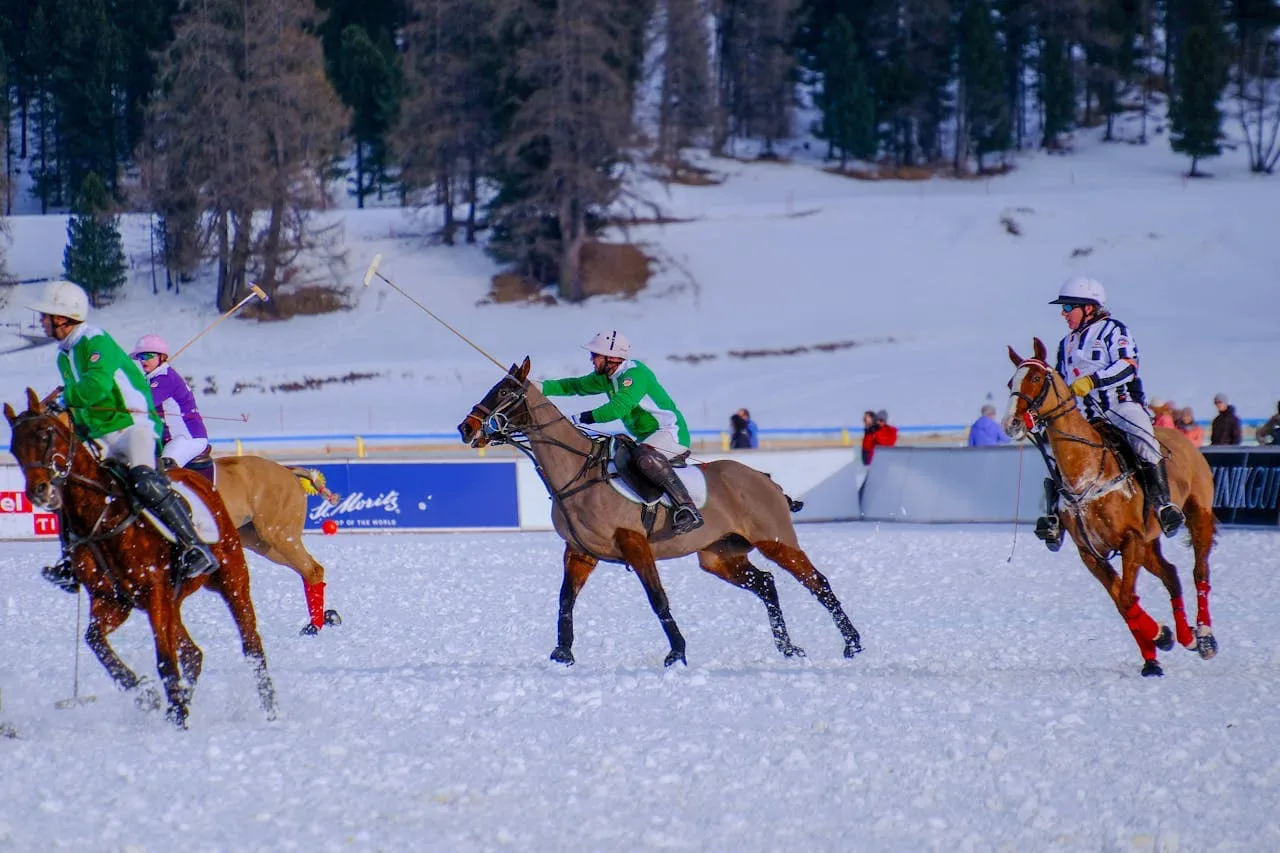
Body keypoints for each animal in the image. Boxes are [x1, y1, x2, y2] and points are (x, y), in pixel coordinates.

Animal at [5, 388, 277, 727]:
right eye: (14, 447)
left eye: (45, 434)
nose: (39, 492)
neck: (102, 511)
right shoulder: (113, 600)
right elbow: (95, 640)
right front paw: (146, 695)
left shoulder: (154, 591)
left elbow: (164, 659)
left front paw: (176, 715)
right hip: (169, 599)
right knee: (193, 654)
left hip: (230, 576)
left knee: (251, 645)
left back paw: (268, 708)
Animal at [211, 455, 342, 635]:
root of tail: (287, 469)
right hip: (259, 539)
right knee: (310, 568)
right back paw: (327, 617)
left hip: (277, 533)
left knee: (311, 570)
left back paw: (315, 626)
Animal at [457, 358, 863, 667]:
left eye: (505, 392)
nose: (466, 427)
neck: (578, 472)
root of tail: (765, 479)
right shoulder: (580, 551)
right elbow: (565, 600)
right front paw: (562, 653)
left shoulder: (635, 544)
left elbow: (658, 598)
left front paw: (677, 653)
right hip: (719, 555)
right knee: (765, 583)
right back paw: (789, 647)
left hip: (775, 539)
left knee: (817, 582)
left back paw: (852, 643)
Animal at [1004, 339, 1217, 677]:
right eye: (1010, 382)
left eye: (1036, 378)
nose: (1010, 424)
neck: (1086, 474)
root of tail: (1185, 440)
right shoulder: (1091, 553)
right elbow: (1121, 602)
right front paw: (1155, 652)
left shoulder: (1130, 540)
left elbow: (1128, 598)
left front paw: (1161, 636)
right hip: (1149, 542)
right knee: (1171, 574)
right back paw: (1186, 636)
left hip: (1198, 515)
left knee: (1200, 571)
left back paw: (1205, 638)